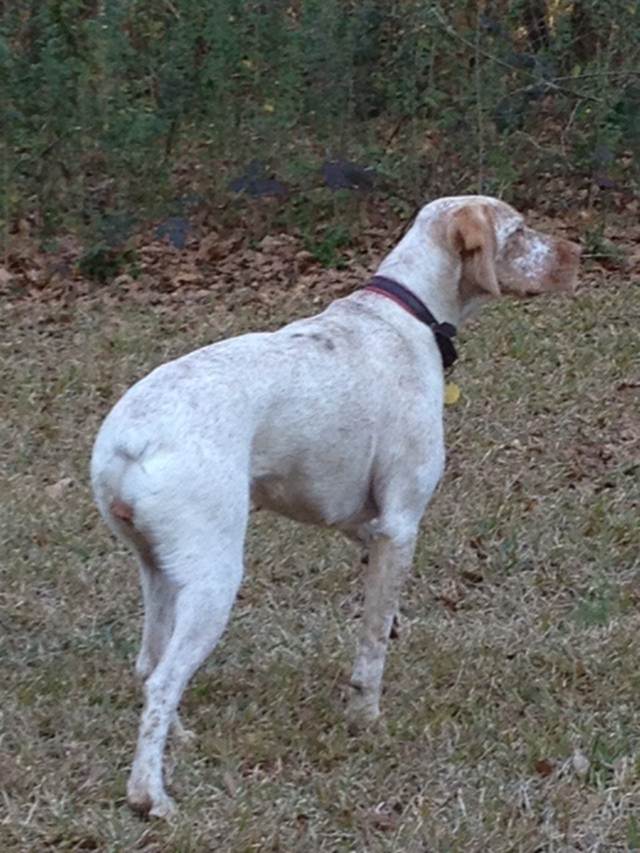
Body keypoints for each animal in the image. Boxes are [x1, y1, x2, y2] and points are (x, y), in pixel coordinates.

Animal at [91, 195, 580, 817]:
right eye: (518, 232)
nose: (577, 252)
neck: (407, 314)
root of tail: (128, 441)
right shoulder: (401, 523)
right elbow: (371, 648)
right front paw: (365, 719)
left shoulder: (355, 518)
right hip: (213, 581)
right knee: (160, 682)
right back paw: (148, 793)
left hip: (159, 573)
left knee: (150, 667)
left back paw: (178, 739)